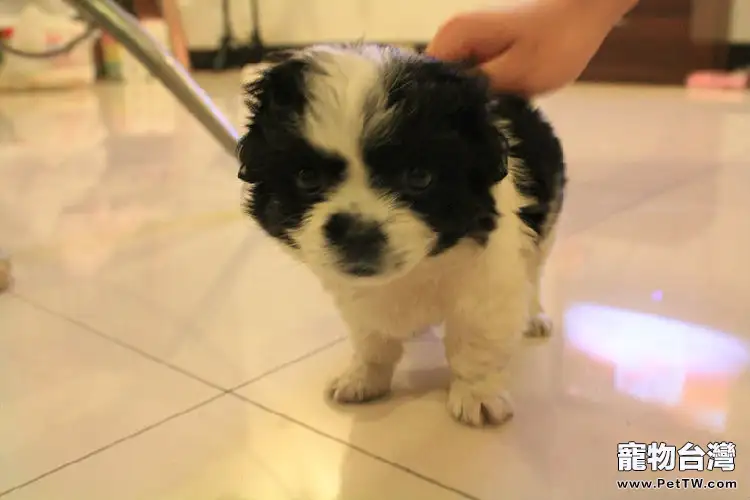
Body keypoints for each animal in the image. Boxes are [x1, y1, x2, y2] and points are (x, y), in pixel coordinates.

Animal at [238, 45, 568, 426]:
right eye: (307, 178)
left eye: (419, 177)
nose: (357, 231)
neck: (417, 270)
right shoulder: (359, 299)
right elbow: (371, 340)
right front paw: (363, 377)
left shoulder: (490, 283)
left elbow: (476, 342)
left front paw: (477, 394)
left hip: (545, 231)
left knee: (534, 274)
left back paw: (534, 316)